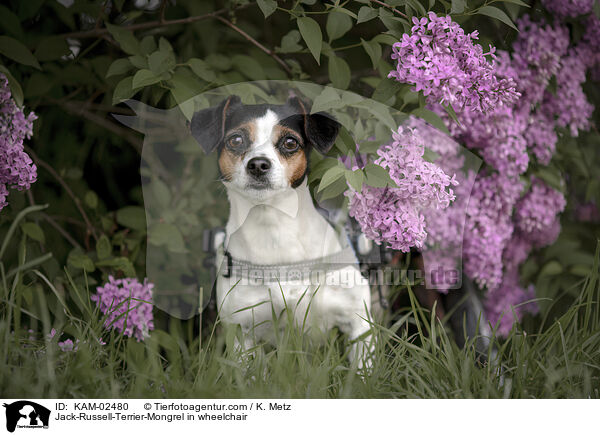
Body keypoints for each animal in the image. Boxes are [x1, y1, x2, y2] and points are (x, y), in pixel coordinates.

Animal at [190, 95, 372, 368]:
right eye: (236, 140)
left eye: (289, 142)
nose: (258, 164)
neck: (274, 229)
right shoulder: (243, 331)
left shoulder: (357, 320)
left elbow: (363, 369)